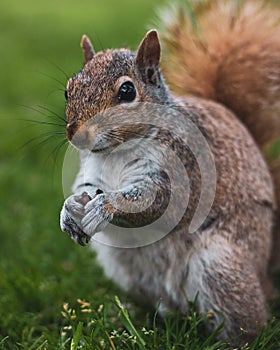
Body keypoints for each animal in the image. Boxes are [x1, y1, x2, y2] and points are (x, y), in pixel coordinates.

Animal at [59, 0, 280, 344]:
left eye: (127, 92)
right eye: (69, 90)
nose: (76, 135)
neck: (114, 153)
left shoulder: (184, 168)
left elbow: (157, 203)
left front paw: (105, 206)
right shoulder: (91, 173)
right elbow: (80, 190)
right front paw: (69, 210)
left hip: (221, 268)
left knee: (249, 320)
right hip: (127, 267)